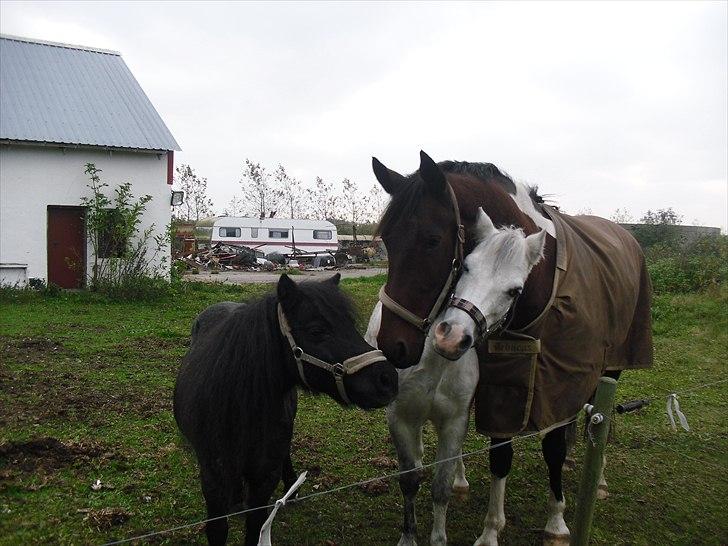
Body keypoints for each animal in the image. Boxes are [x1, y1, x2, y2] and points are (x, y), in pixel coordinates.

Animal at [173, 274, 396, 540]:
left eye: (350, 325)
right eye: (316, 331)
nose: (388, 379)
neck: (240, 410)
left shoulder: (264, 478)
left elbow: (256, 527)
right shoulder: (213, 478)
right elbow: (218, 529)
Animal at [372, 151, 652, 540]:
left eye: (432, 240)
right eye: (387, 239)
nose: (391, 345)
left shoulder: (563, 378)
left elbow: (552, 447)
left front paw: (556, 521)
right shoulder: (502, 384)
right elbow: (500, 453)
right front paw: (490, 529)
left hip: (611, 366)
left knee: (600, 414)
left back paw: (598, 479)